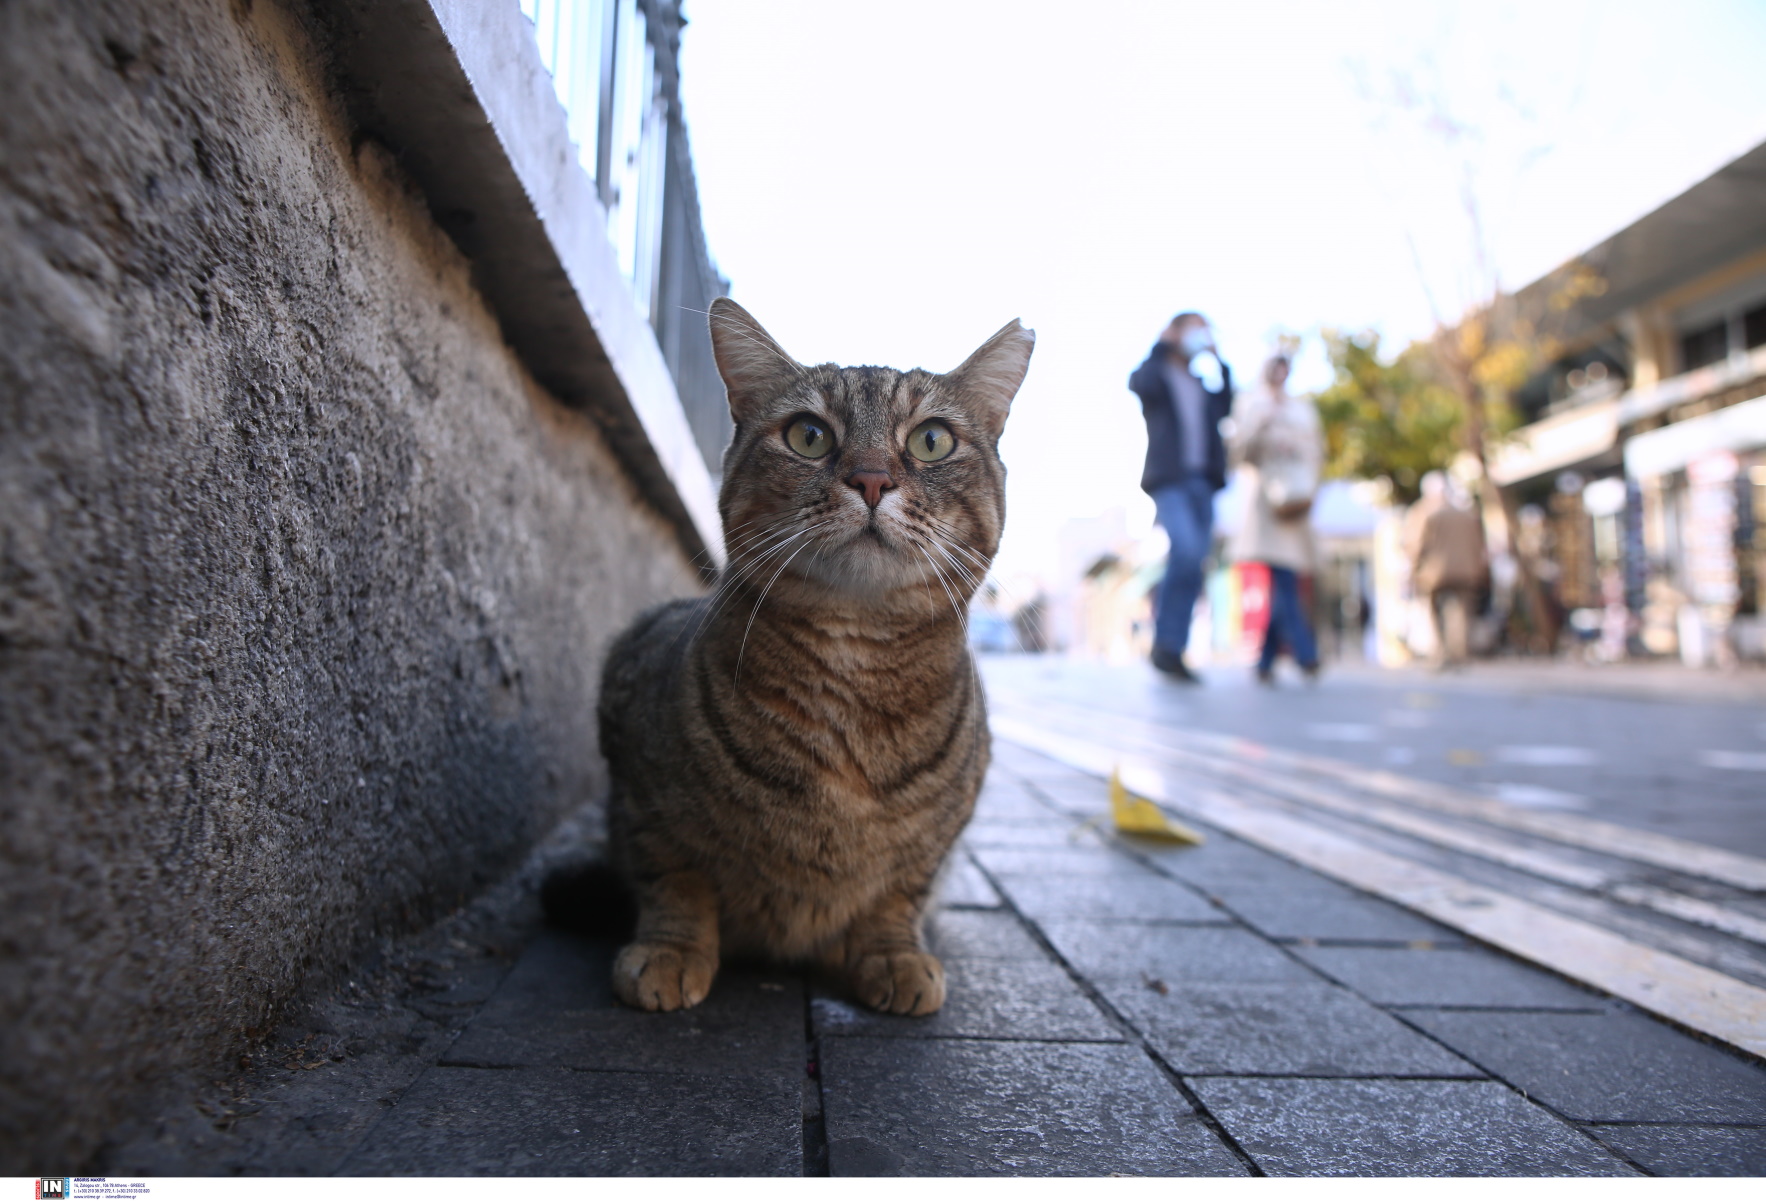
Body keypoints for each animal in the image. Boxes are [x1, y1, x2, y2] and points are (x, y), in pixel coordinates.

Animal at [593, 300, 1031, 1010]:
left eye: (931, 441)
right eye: (808, 436)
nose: (872, 478)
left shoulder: (940, 840)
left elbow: (899, 893)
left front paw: (894, 954)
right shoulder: (635, 764)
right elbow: (673, 877)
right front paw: (671, 950)